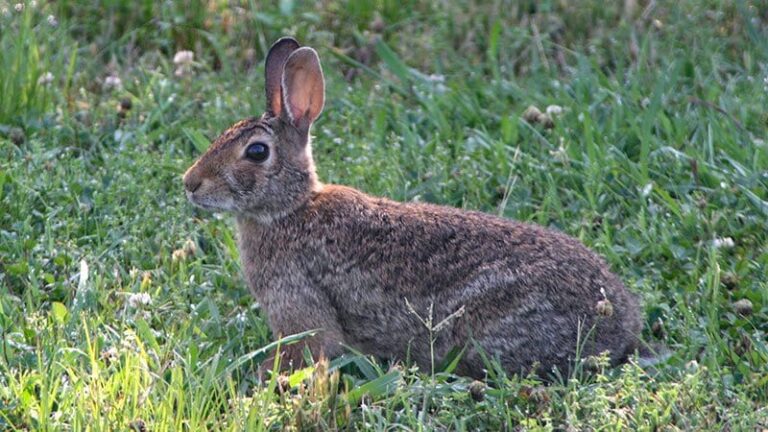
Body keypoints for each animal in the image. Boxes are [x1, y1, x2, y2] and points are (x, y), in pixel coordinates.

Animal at [182, 37, 644, 379]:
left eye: (257, 152)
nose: (190, 183)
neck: (291, 208)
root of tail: (620, 325)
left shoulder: (300, 306)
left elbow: (312, 349)